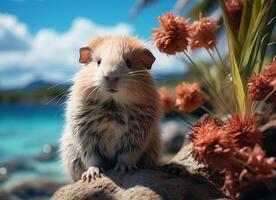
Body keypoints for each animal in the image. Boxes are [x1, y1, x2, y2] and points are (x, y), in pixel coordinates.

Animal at [60, 35, 162, 182]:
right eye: (98, 62)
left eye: (129, 63)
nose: (111, 76)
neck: (112, 108)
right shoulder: (86, 138)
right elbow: (93, 160)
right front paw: (92, 175)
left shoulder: (135, 138)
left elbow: (126, 157)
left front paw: (124, 169)